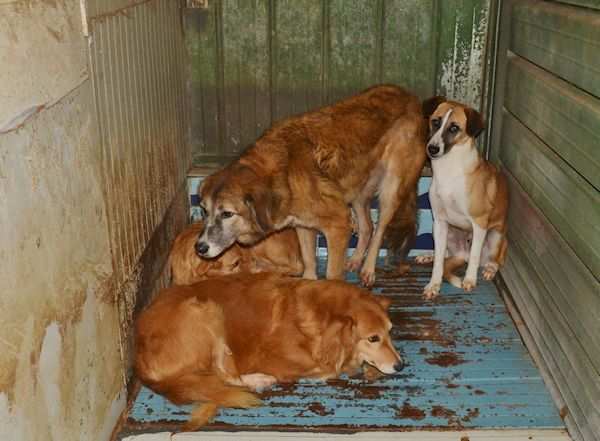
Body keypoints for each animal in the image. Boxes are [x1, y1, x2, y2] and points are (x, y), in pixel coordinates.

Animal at [134, 274, 400, 428]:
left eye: (390, 331)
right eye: (373, 338)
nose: (401, 366)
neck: (316, 317)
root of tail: (139, 363)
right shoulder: (275, 358)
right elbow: (327, 369)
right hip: (206, 311)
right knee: (225, 375)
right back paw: (258, 380)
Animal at [195, 85, 424, 286]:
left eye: (227, 214)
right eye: (204, 211)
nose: (199, 247)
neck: (283, 174)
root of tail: (411, 97)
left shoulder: (338, 224)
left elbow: (331, 274)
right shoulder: (303, 226)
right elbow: (309, 264)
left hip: (391, 190)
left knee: (380, 229)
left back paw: (368, 269)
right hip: (356, 191)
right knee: (368, 226)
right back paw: (356, 260)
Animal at [420, 97, 508, 298]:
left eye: (454, 128)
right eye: (435, 122)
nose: (432, 149)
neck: (449, 169)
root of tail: (462, 254)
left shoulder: (479, 223)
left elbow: (475, 257)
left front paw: (469, 280)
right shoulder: (440, 221)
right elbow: (439, 262)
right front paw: (434, 284)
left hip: (495, 235)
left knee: (493, 260)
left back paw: (489, 268)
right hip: (445, 230)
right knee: (444, 254)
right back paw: (429, 254)